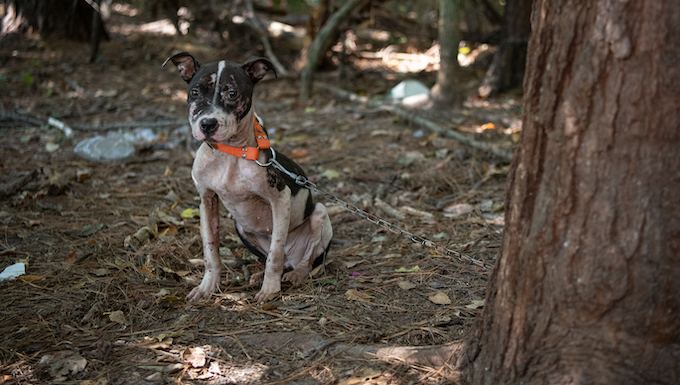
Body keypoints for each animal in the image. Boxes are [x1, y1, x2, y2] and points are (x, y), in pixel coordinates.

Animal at [165, 52, 334, 302]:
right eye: (195, 92)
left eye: (232, 93)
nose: (207, 124)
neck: (231, 153)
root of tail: (291, 260)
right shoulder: (206, 200)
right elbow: (210, 250)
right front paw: (208, 286)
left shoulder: (280, 199)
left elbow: (275, 253)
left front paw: (270, 290)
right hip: (241, 227)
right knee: (269, 258)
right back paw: (257, 275)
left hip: (320, 215)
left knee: (307, 262)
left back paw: (296, 274)